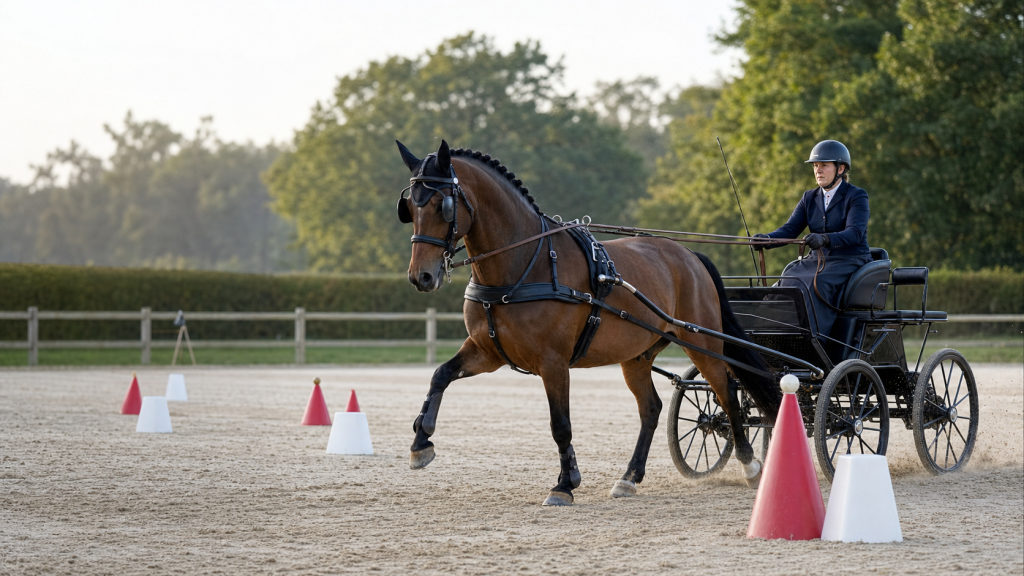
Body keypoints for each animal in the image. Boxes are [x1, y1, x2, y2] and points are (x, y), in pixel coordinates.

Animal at [396, 139, 780, 506]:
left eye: (442, 205)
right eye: (410, 207)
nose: (421, 276)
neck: (523, 265)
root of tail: (690, 255)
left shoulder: (552, 362)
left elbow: (560, 424)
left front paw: (565, 485)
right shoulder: (487, 352)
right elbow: (440, 375)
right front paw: (420, 442)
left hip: (702, 342)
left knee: (727, 397)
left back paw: (751, 467)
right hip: (637, 355)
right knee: (651, 409)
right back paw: (629, 477)